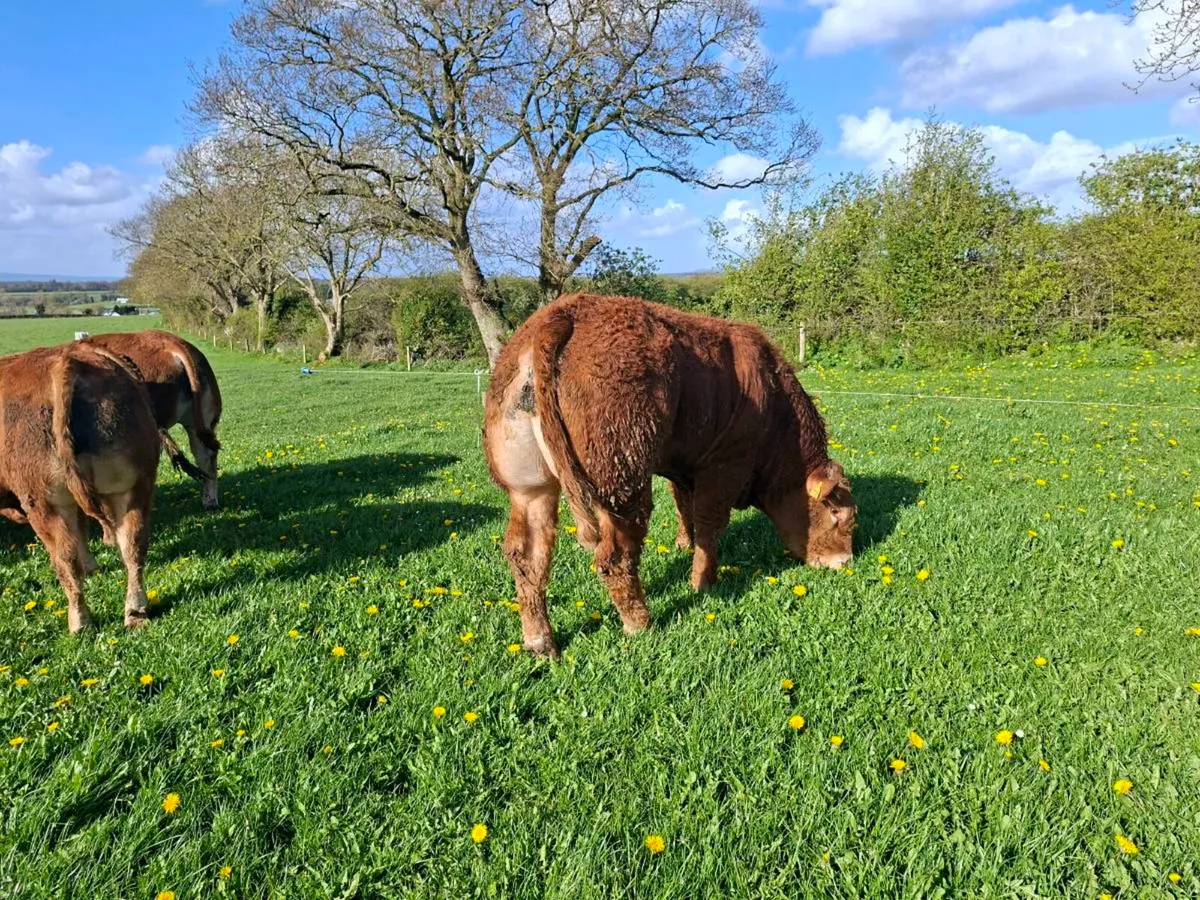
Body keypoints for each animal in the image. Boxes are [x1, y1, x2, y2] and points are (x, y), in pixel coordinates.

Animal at [0, 343, 161, 632]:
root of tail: (69, 358)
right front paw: (92, 566)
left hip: (45, 502)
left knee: (65, 560)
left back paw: (79, 622)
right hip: (134, 486)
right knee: (133, 544)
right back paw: (136, 612)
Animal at [484, 293, 857, 658]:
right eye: (839, 514)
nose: (845, 562)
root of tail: (563, 311)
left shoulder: (683, 466)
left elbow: (684, 508)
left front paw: (682, 545)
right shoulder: (724, 468)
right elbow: (709, 526)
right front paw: (704, 583)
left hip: (530, 489)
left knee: (526, 556)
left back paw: (540, 642)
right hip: (622, 482)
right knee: (614, 556)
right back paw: (640, 623)